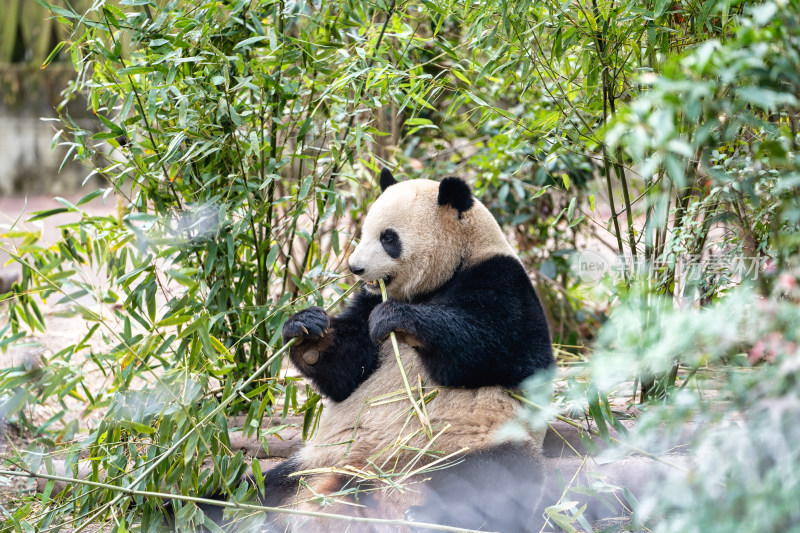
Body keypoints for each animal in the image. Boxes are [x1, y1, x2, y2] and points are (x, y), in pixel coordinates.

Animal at [238, 170, 552, 532]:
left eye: (388, 238)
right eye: (363, 233)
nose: (355, 268)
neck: (456, 264)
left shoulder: (502, 280)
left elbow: (498, 347)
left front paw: (399, 319)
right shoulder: (367, 301)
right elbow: (347, 371)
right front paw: (307, 331)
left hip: (471, 442)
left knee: (494, 480)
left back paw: (431, 514)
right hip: (312, 465)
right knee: (253, 490)